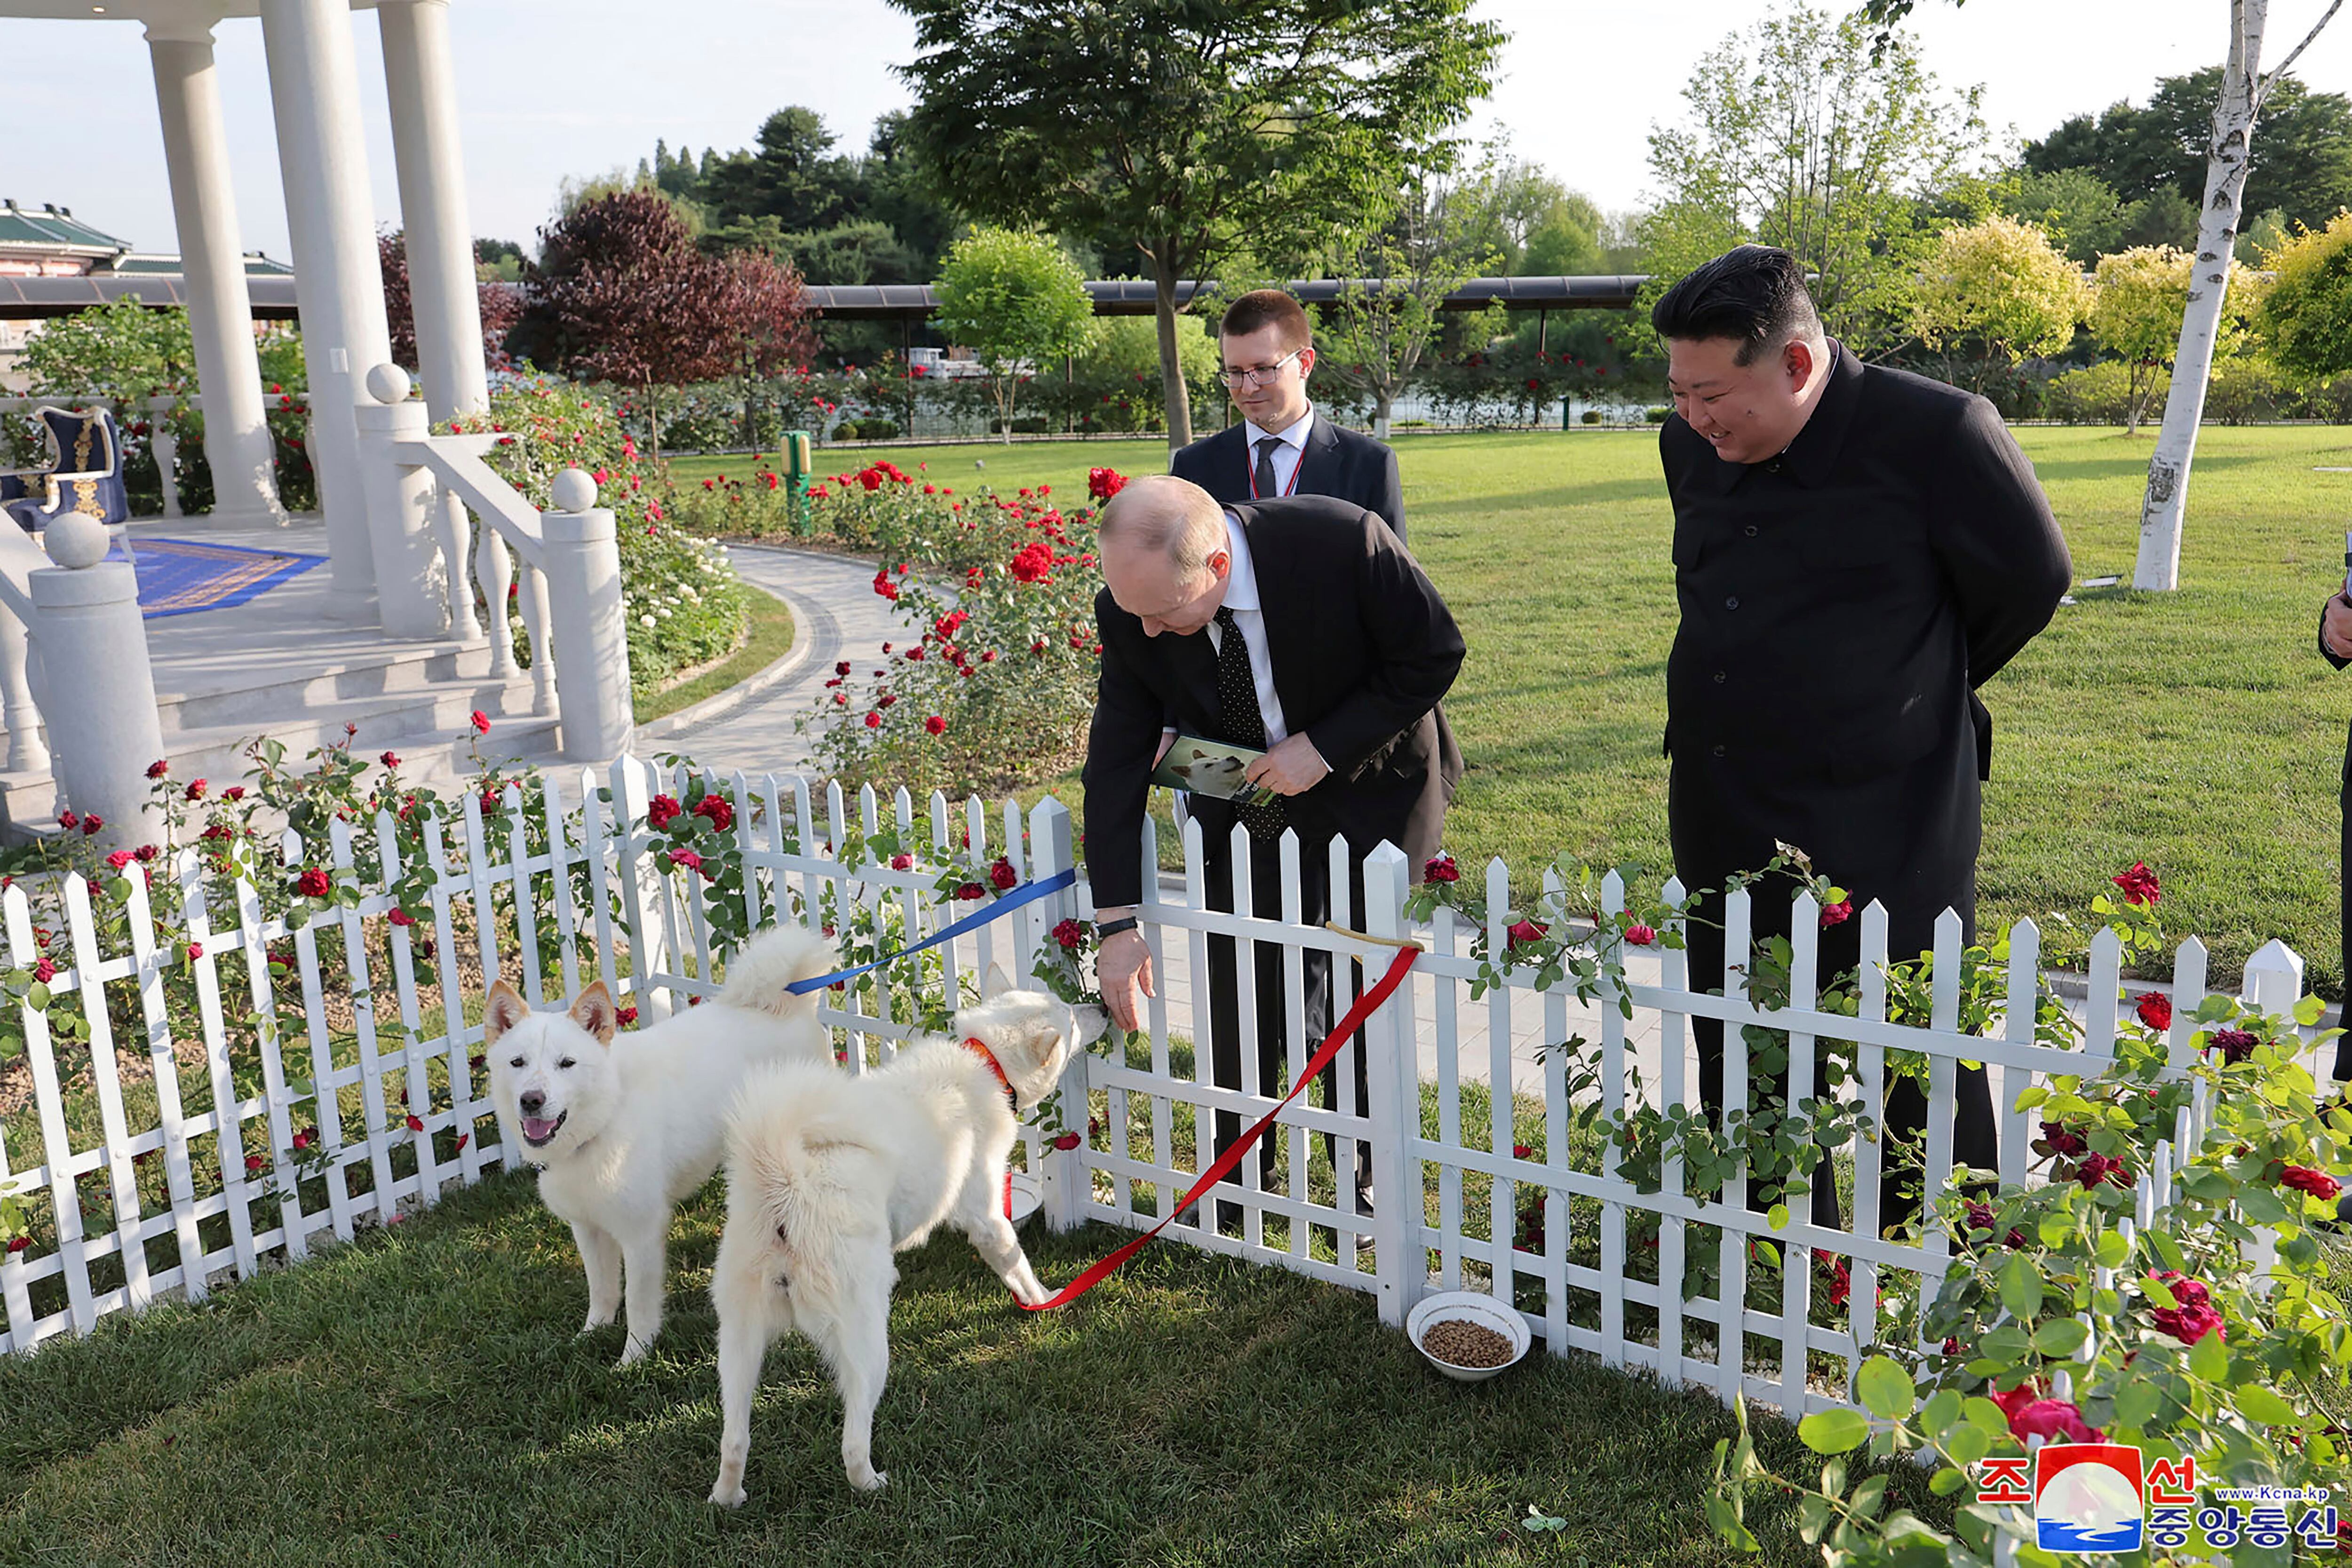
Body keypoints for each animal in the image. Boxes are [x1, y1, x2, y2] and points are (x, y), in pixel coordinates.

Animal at [482, 926, 842, 1363]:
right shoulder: (588, 1228)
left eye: (566, 1064)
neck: (606, 1116)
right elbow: (602, 1290)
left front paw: (633, 1359)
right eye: (517, 1063)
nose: (531, 1100)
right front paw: (590, 1335)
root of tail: (785, 1004)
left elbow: (637, 1304)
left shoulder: (641, 1235)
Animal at [701, 964, 1105, 1505]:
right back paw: (871, 1483)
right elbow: (1016, 1263)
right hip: (868, 1341)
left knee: (734, 1438)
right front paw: (1044, 1299)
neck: (984, 1060)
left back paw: (728, 1497)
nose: (1101, 1006)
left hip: (738, 1342)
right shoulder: (985, 1217)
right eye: (1071, 1020)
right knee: (852, 1441)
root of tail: (785, 1180)